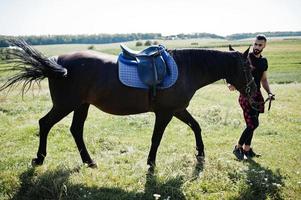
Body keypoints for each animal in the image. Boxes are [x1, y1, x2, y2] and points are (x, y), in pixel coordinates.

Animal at [0, 39, 255, 167]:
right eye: (249, 67)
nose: (253, 92)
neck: (185, 69)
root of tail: (58, 62)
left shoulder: (178, 109)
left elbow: (196, 126)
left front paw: (200, 154)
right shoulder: (165, 113)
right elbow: (156, 138)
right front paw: (151, 163)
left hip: (81, 105)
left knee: (75, 130)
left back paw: (89, 161)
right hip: (65, 105)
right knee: (45, 124)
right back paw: (40, 158)